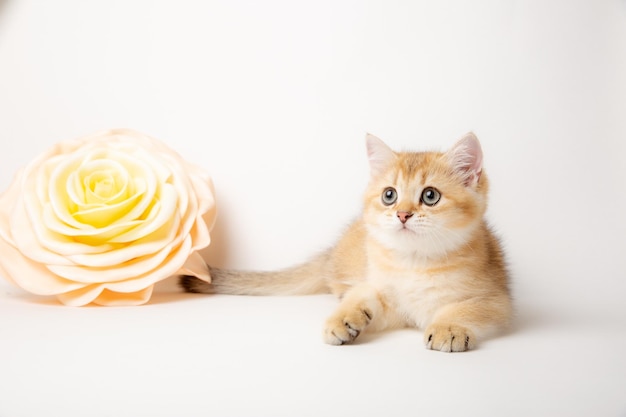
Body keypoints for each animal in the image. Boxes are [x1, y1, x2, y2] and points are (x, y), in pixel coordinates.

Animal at [178, 133, 510, 352]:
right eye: (389, 195)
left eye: (430, 196)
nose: (402, 214)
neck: (415, 262)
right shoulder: (383, 292)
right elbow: (363, 296)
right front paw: (345, 319)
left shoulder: (498, 299)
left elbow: (466, 309)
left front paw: (448, 327)